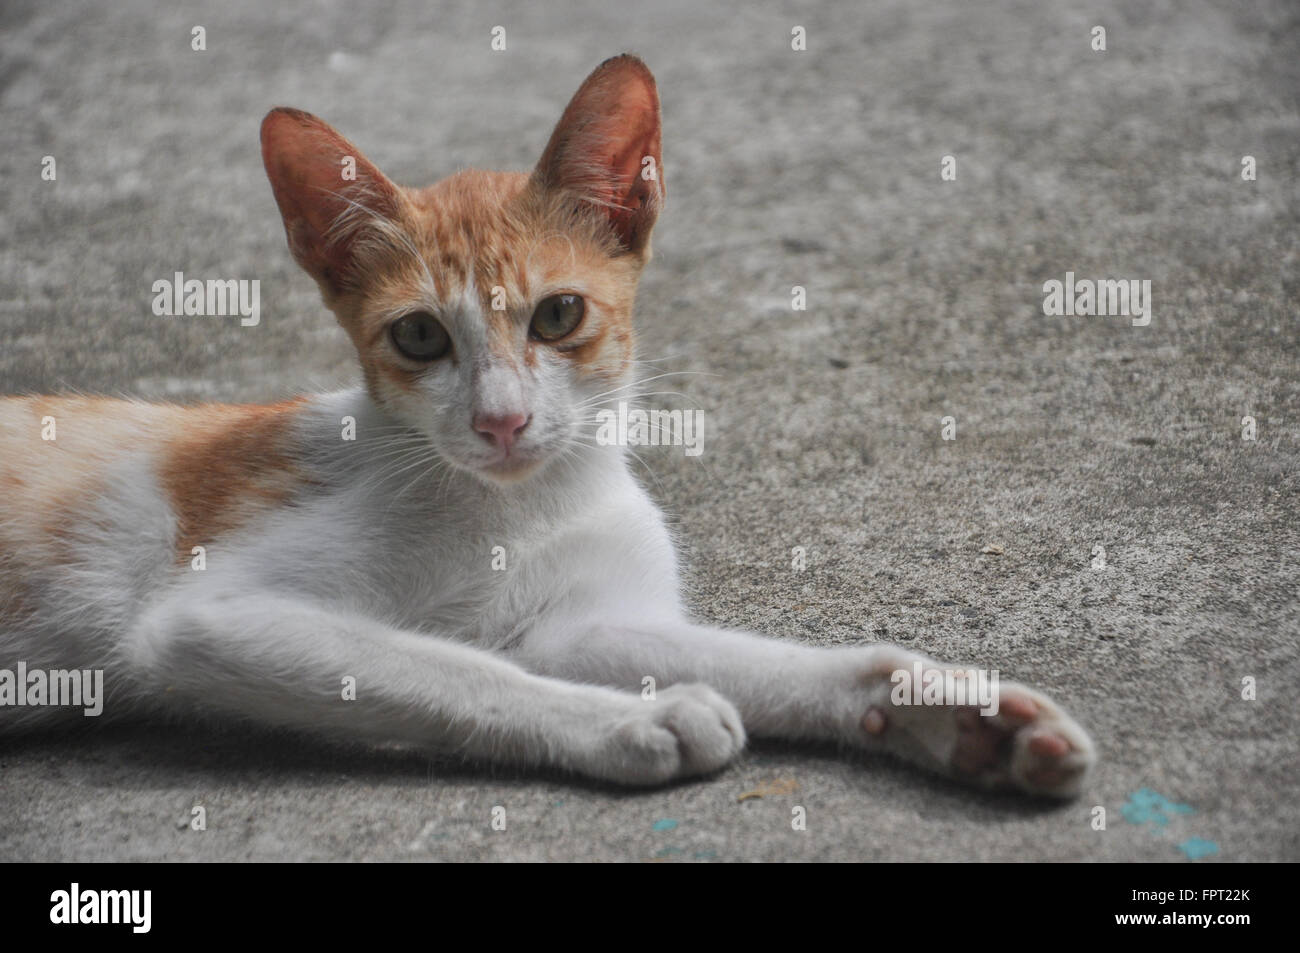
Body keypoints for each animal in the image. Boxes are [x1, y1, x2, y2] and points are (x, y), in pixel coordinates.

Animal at [0, 53, 1097, 795]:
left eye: (559, 315)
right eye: (418, 336)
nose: (502, 420)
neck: (521, 504)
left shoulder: (573, 621)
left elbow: (751, 657)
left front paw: (949, 710)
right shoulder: (210, 615)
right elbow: (450, 668)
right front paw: (634, 720)